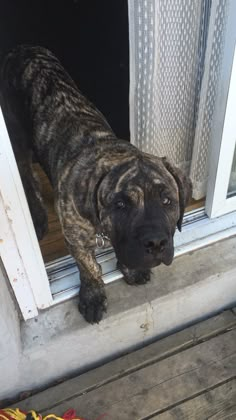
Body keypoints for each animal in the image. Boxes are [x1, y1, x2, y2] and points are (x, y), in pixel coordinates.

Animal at [0, 46, 192, 324]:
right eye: (120, 205)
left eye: (168, 201)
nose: (156, 243)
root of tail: (22, 49)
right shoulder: (76, 240)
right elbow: (89, 268)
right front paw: (92, 297)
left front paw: (132, 270)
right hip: (17, 138)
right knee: (27, 175)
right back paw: (38, 216)